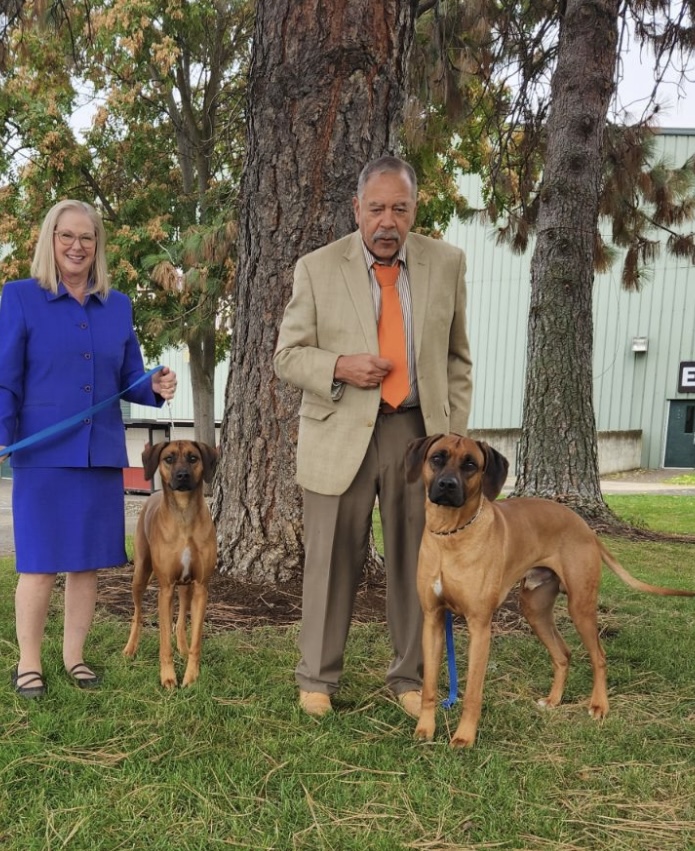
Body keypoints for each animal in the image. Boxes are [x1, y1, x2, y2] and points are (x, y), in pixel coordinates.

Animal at [123, 440, 218, 688]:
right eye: (168, 458)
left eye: (193, 458)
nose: (182, 475)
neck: (184, 514)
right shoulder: (165, 588)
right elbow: (164, 641)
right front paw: (167, 677)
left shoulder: (201, 587)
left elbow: (195, 639)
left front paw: (191, 676)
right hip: (140, 573)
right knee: (137, 614)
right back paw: (130, 648)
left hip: (186, 586)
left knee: (181, 619)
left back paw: (182, 648)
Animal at [405, 434, 695, 748]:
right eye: (437, 458)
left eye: (470, 464)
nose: (447, 485)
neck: (450, 535)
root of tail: (586, 528)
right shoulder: (433, 620)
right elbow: (429, 686)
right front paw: (425, 729)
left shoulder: (479, 626)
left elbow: (472, 693)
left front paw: (464, 737)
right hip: (535, 609)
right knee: (563, 654)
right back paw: (554, 700)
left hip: (580, 606)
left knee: (599, 656)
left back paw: (599, 705)